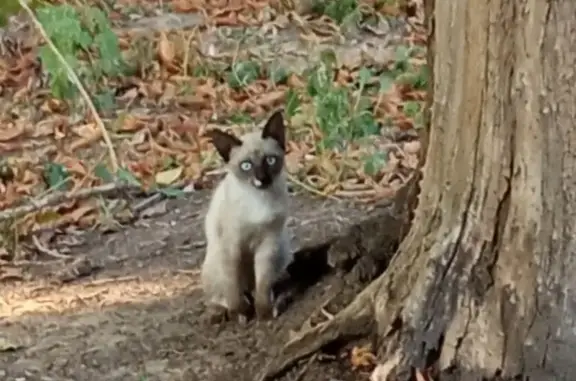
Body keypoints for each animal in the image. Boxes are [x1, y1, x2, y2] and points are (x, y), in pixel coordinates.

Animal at [201, 109, 292, 320]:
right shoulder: (232, 246)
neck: (259, 200)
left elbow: (263, 283)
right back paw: (223, 312)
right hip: (216, 257)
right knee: (220, 294)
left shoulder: (268, 243)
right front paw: (240, 313)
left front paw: (264, 313)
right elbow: (232, 286)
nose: (262, 179)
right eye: (246, 166)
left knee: (259, 286)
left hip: (281, 247)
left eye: (270, 160)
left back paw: (277, 301)